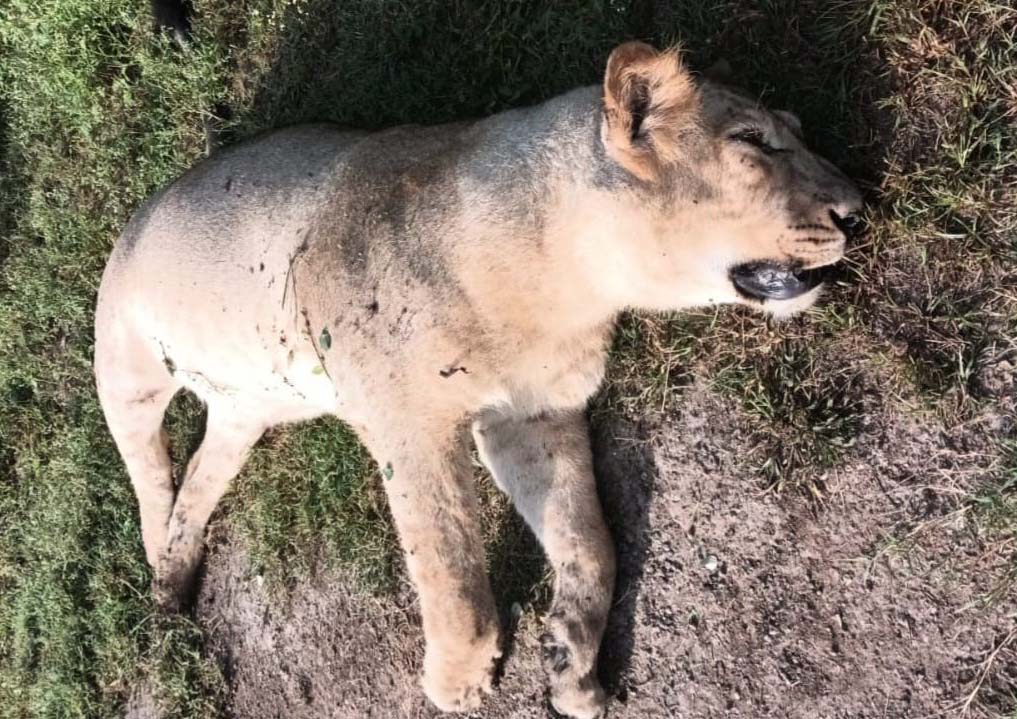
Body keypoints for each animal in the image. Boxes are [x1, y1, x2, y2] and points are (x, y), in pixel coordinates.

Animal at [94, 42, 862, 718]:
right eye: (753, 141)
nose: (856, 210)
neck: (564, 284)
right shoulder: (405, 421)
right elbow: (447, 560)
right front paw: (458, 678)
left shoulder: (535, 416)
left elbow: (591, 542)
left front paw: (571, 665)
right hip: (125, 374)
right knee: (150, 480)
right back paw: (159, 578)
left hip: (244, 415)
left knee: (197, 479)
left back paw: (173, 576)